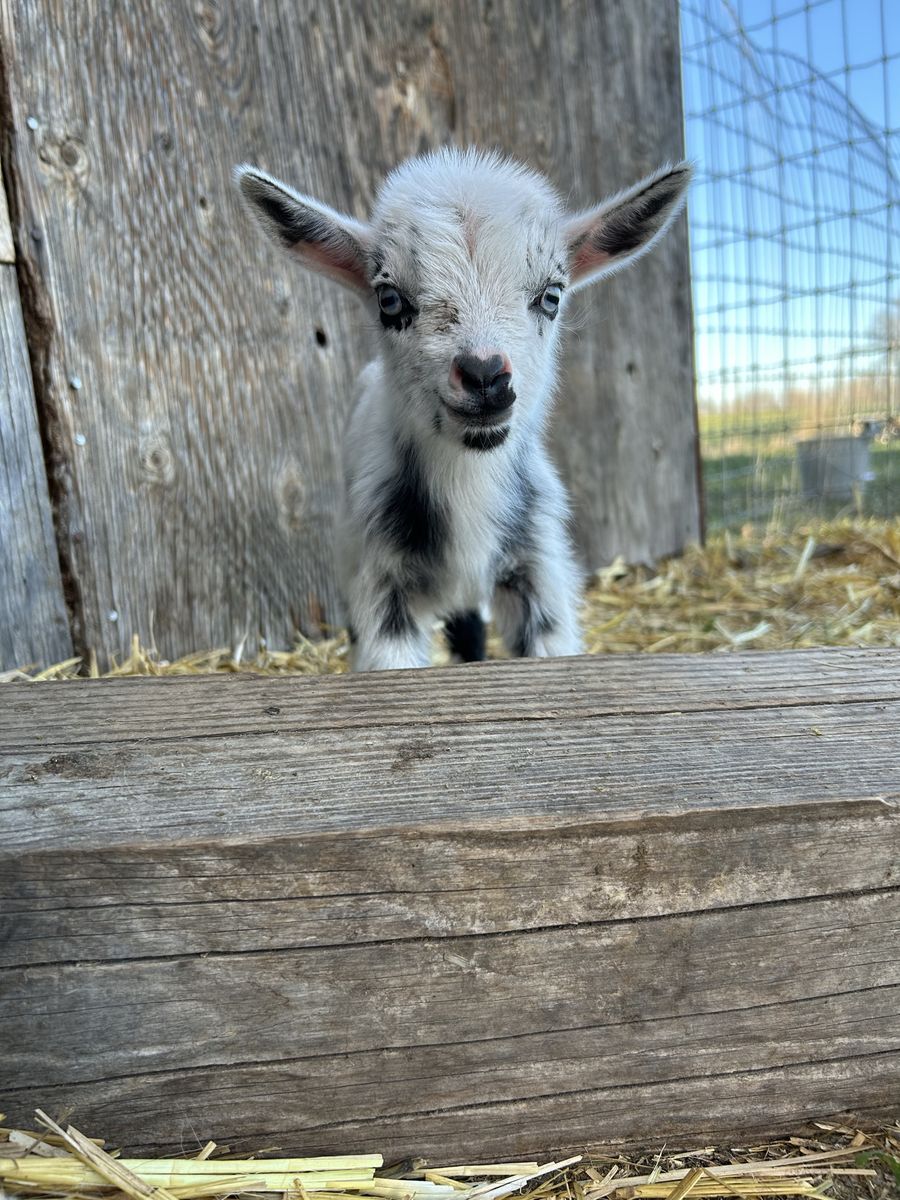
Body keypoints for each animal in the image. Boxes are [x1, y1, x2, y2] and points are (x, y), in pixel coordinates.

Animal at [236, 148, 691, 671]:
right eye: (388, 299)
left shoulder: (539, 568)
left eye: (551, 295)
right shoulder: (381, 582)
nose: (486, 376)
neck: (468, 476)